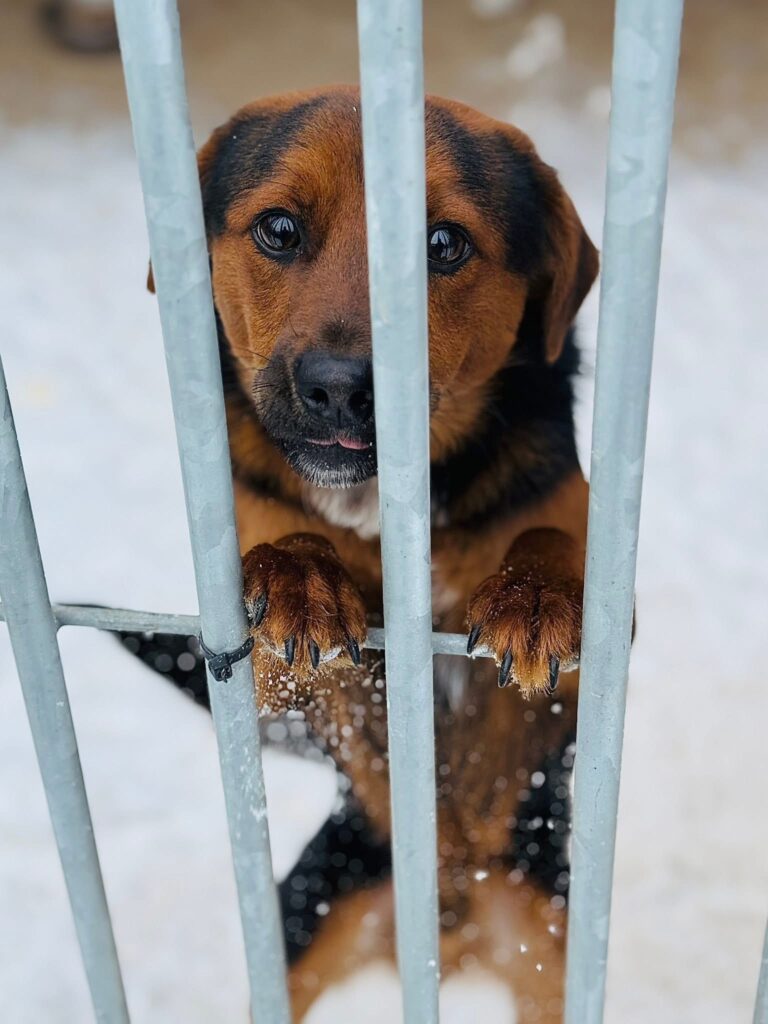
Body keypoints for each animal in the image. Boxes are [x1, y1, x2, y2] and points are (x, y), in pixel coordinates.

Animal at [132, 84, 598, 1022]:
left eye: (443, 244)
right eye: (278, 229)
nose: (340, 387)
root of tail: (449, 915)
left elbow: (548, 534)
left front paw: (534, 593)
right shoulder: (260, 675)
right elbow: (290, 559)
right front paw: (305, 573)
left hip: (552, 951)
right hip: (304, 930)